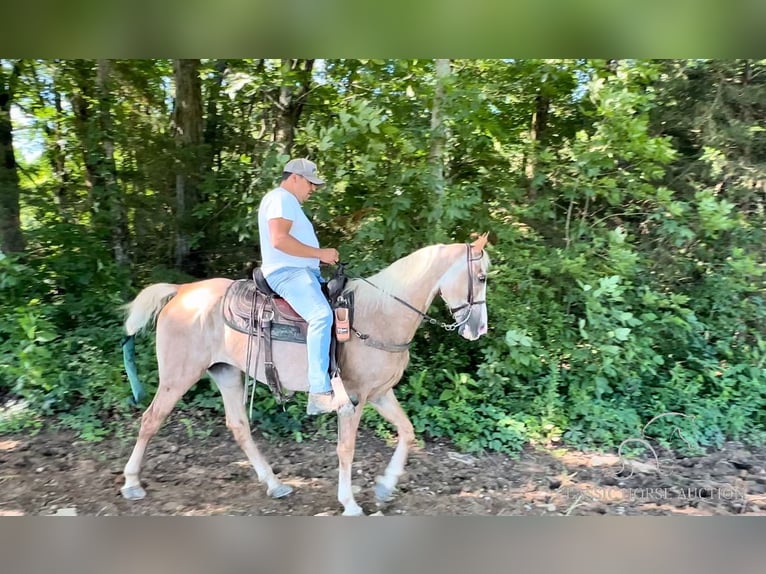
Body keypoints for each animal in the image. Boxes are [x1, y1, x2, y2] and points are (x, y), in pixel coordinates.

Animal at [120, 234, 492, 516]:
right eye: (482, 277)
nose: (479, 329)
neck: (380, 315)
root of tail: (181, 291)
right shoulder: (353, 401)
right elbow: (346, 449)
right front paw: (350, 504)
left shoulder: (380, 393)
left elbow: (407, 431)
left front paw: (385, 488)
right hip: (177, 376)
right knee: (151, 420)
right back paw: (131, 483)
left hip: (226, 373)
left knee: (238, 426)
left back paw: (275, 485)